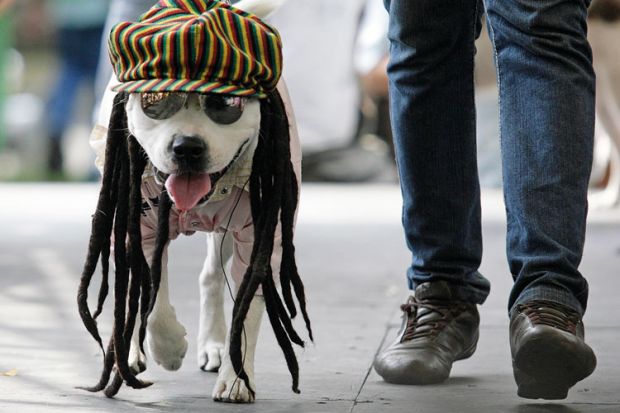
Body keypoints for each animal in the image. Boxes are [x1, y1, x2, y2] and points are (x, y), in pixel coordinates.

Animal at [86, 0, 308, 402]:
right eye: (155, 100)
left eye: (224, 103)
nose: (187, 146)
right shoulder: (139, 228)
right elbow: (150, 296)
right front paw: (169, 348)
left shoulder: (260, 240)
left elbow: (246, 310)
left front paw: (237, 378)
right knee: (131, 291)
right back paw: (132, 352)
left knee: (211, 276)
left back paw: (214, 346)